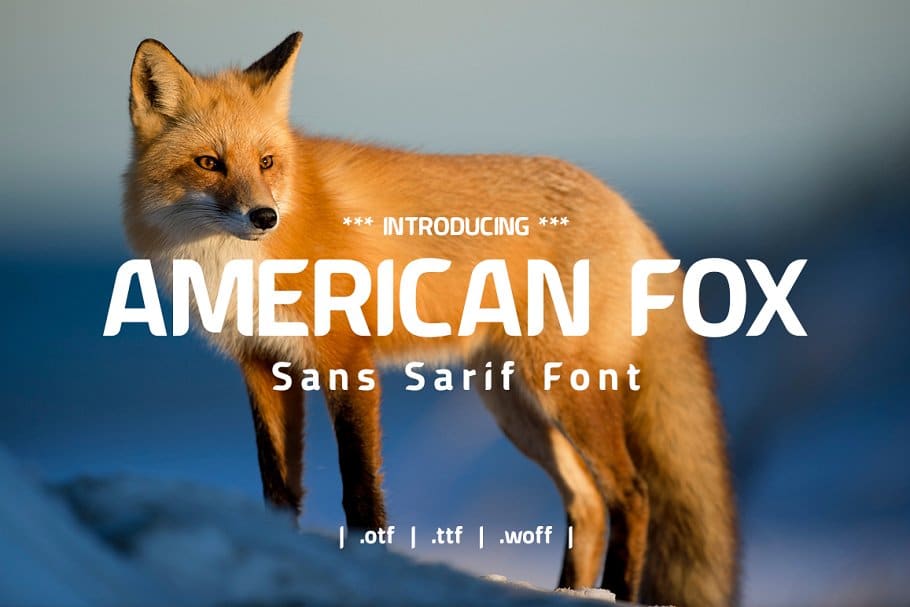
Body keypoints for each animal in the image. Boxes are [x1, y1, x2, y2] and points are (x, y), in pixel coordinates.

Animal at [123, 32, 738, 606]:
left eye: (267, 162)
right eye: (209, 163)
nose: (264, 216)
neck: (235, 264)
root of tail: (627, 208)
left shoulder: (347, 357)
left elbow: (360, 487)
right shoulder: (262, 362)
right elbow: (278, 488)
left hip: (565, 388)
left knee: (632, 494)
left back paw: (617, 592)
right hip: (513, 403)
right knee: (586, 502)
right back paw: (571, 592)